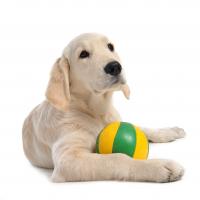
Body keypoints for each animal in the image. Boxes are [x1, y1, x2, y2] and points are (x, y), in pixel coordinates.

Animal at [22, 32, 185, 183]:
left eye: (110, 46)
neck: (96, 110)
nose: (114, 67)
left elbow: (143, 129)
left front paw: (170, 131)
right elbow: (117, 158)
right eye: (83, 54)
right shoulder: (67, 159)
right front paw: (157, 166)